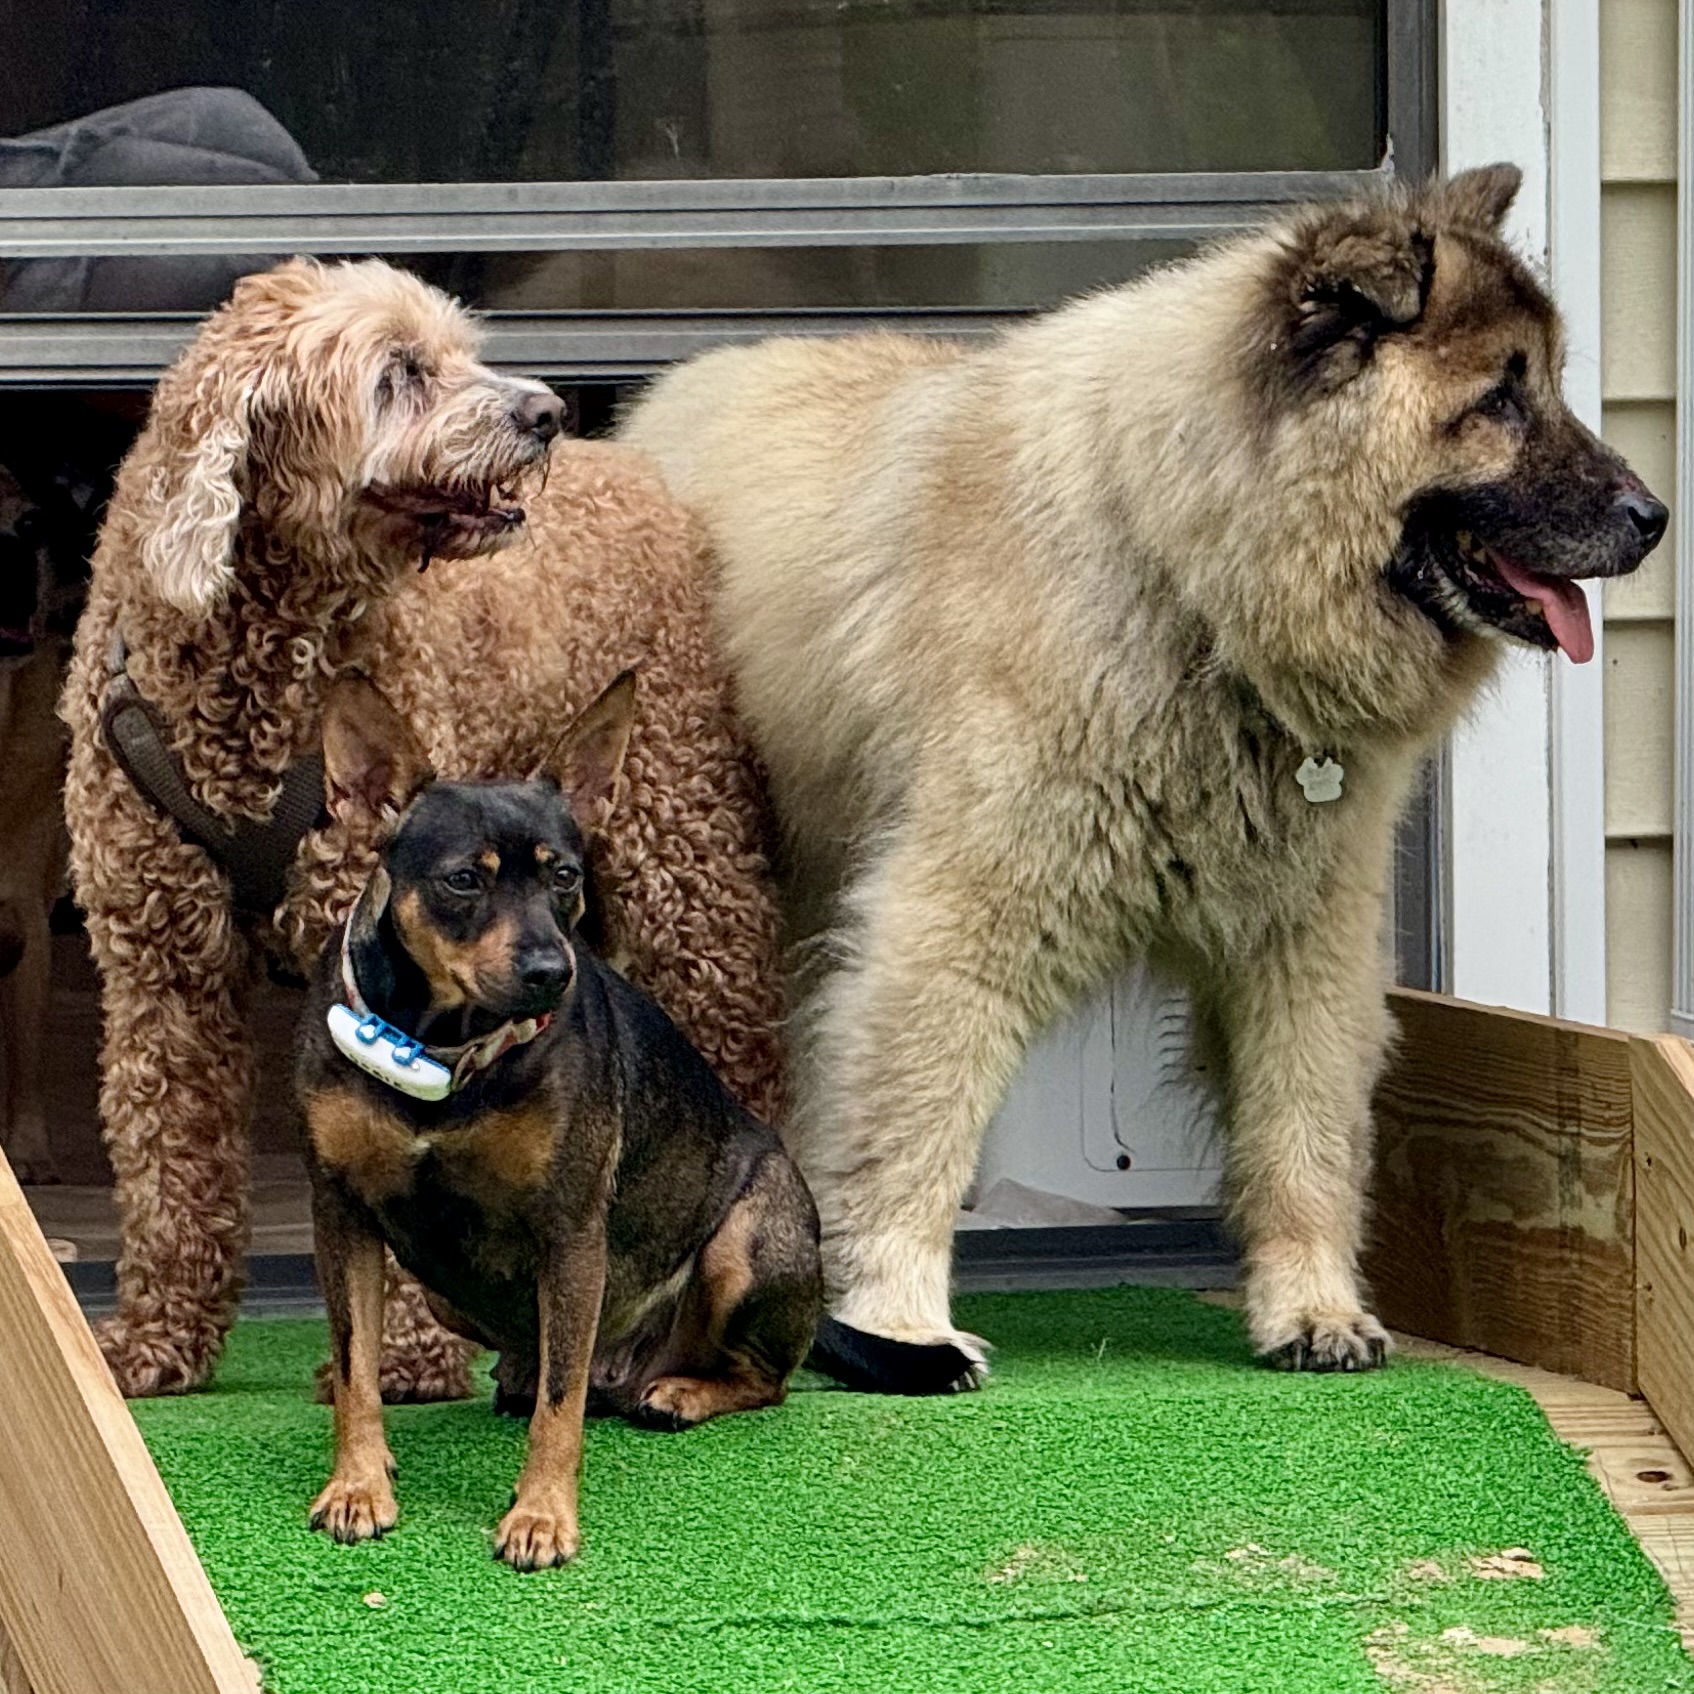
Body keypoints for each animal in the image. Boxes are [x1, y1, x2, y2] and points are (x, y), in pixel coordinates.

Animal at [61, 257, 787, 1400]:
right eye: (399, 371)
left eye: (459, 349)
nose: (542, 411)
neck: (263, 653)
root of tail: (630, 466)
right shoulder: (159, 968)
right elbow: (168, 1164)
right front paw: (157, 1339)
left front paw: (402, 1356)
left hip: (687, 851)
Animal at [300, 673, 821, 1569]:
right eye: (463, 882)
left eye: (566, 877)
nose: (551, 969)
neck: (447, 1049)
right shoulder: (344, 1216)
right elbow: (357, 1368)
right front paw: (358, 1485)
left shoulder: (571, 1232)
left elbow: (560, 1401)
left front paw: (541, 1516)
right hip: (443, 1293)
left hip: (744, 1248)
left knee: (761, 1380)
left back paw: (679, 1392)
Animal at [621, 163, 1669, 1385]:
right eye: (1500, 398)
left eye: (1546, 383)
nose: (1653, 519)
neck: (1193, 580)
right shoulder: (953, 921)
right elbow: (915, 1119)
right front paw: (893, 1322)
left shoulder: (1302, 942)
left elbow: (1302, 1132)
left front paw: (1311, 1306)